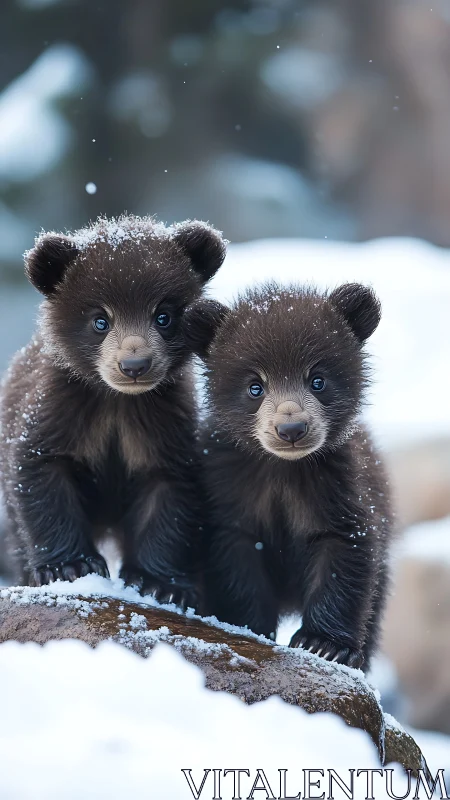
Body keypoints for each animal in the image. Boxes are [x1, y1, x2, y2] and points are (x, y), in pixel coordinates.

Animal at [0, 215, 226, 610]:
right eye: (100, 320)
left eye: (163, 316)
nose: (134, 365)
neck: (118, 402)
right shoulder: (62, 410)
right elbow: (42, 473)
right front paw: (69, 566)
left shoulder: (163, 423)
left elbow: (170, 492)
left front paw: (159, 583)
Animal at [183, 282, 392, 670]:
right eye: (255, 386)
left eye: (317, 380)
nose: (291, 429)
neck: (283, 469)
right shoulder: (232, 488)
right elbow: (235, 558)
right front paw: (248, 627)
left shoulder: (337, 485)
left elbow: (344, 552)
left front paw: (325, 643)